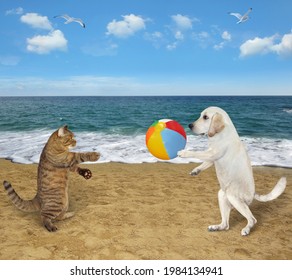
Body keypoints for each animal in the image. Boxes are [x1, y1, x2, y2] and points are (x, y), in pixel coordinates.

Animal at [178, 106, 288, 235]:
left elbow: (197, 153)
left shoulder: (212, 153)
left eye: (205, 117)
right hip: (222, 195)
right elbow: (204, 163)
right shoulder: (212, 158)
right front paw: (196, 170)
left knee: (252, 219)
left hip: (233, 197)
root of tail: (252, 194)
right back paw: (216, 227)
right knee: (226, 224)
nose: (190, 125)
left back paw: (246, 229)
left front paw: (184, 153)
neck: (221, 133)